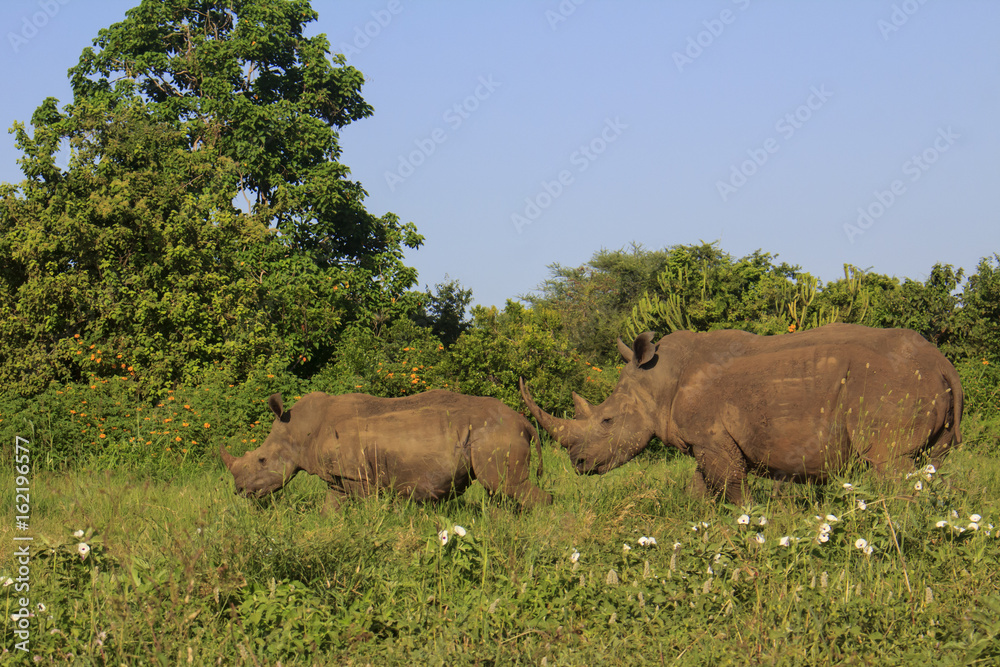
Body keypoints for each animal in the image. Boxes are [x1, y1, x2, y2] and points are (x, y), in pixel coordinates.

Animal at [220, 389, 552, 511]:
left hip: (495, 433)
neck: (299, 430)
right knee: (499, 489)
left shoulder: (361, 477)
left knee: (507, 485)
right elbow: (331, 508)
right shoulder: (341, 477)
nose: (239, 490)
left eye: (261, 459)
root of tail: (524, 421)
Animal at [521, 323, 963, 505]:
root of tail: (942, 362)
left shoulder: (714, 440)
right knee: (929, 464)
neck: (657, 380)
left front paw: (753, 520)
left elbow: (732, 487)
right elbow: (700, 489)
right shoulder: (706, 443)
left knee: (890, 463)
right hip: (921, 384)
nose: (578, 464)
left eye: (607, 420)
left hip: (890, 383)